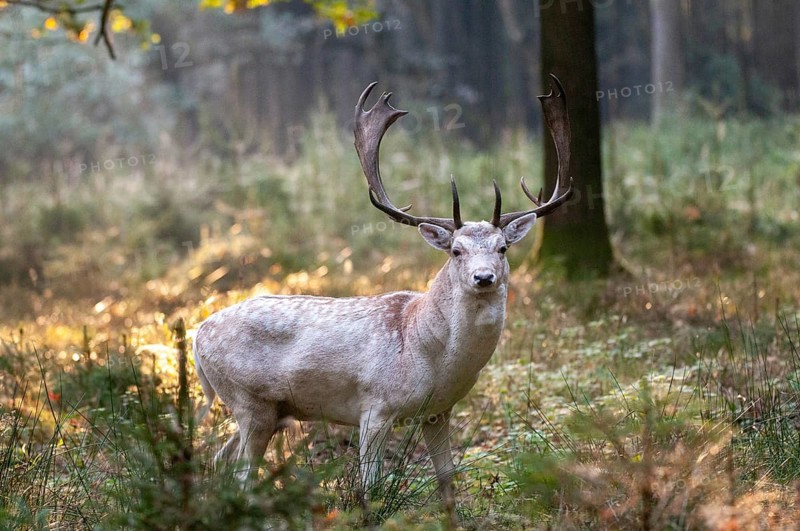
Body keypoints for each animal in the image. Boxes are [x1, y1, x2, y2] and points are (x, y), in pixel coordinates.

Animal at [193, 74, 573, 515]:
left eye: (503, 248)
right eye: (456, 250)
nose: (484, 278)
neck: (429, 355)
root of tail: (197, 335)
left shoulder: (439, 412)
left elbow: (447, 480)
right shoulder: (374, 406)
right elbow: (370, 485)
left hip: (268, 411)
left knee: (219, 458)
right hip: (248, 400)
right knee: (241, 471)